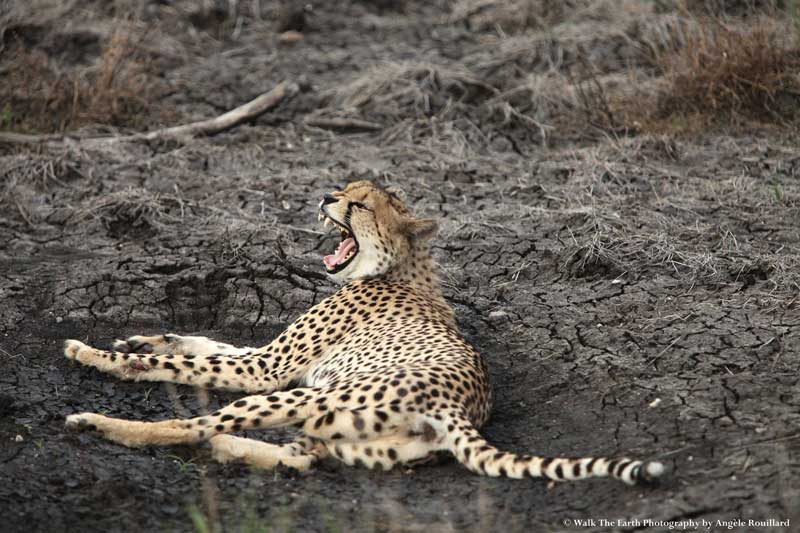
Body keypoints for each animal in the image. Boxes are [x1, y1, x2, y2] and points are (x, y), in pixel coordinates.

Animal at [63, 180, 665, 485]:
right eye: (343, 189)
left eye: (359, 203)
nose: (326, 199)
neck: (396, 267)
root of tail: (461, 407)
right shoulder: (267, 361)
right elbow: (205, 345)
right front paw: (140, 339)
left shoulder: (267, 372)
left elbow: (187, 364)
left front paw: (101, 354)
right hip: (350, 435)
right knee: (296, 456)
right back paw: (228, 450)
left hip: (306, 397)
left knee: (188, 425)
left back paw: (102, 423)